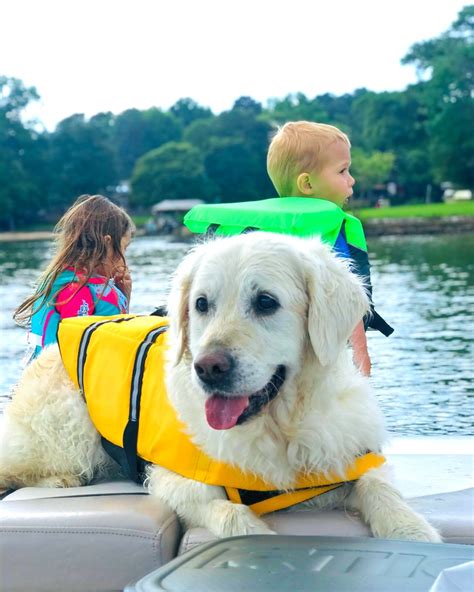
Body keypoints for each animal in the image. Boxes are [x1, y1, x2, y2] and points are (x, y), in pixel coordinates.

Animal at [0, 231, 440, 540]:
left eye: (266, 302)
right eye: (201, 304)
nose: (207, 368)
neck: (281, 427)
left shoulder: (349, 451)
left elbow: (379, 487)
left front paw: (413, 531)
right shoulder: (175, 481)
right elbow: (231, 516)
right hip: (69, 429)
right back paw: (60, 479)